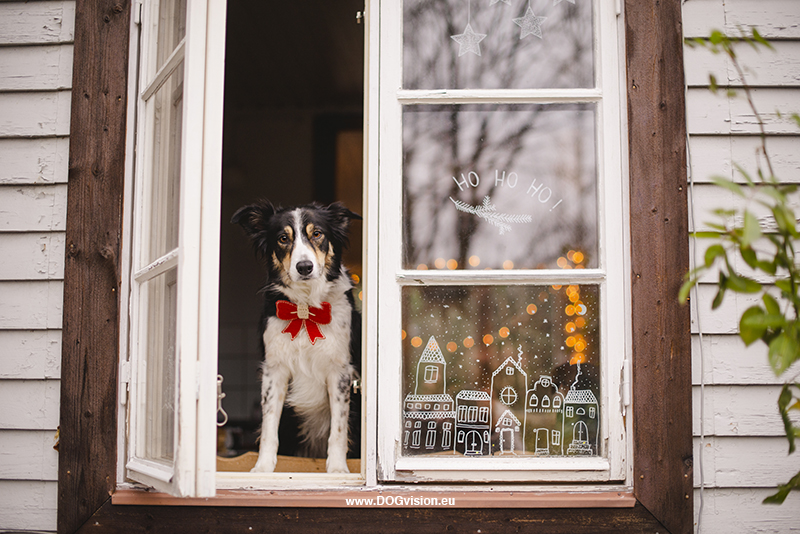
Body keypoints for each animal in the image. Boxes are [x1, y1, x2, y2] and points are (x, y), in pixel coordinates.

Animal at [233, 200, 360, 474]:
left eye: (317, 234)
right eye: (283, 238)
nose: (304, 267)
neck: (305, 309)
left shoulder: (341, 372)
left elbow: (338, 428)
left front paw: (337, 469)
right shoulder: (275, 370)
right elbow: (269, 424)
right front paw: (263, 468)